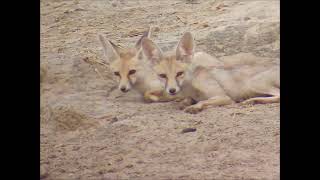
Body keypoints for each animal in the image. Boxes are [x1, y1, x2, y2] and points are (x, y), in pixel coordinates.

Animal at [141, 31, 278, 113]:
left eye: (179, 73)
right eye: (162, 76)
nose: (172, 90)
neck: (192, 87)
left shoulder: (224, 97)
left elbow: (203, 101)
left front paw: (195, 107)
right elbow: (188, 100)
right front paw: (186, 103)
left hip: (254, 84)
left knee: (278, 95)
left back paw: (254, 100)